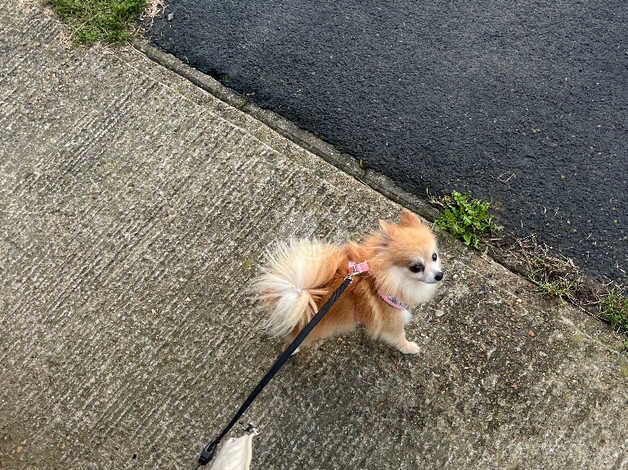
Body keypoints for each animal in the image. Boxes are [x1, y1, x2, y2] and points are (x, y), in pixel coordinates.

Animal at [254, 207, 442, 354]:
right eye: (416, 267)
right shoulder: (392, 321)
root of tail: (297, 292)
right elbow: (399, 338)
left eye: (434, 256)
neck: (386, 277)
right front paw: (410, 348)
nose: (439, 275)